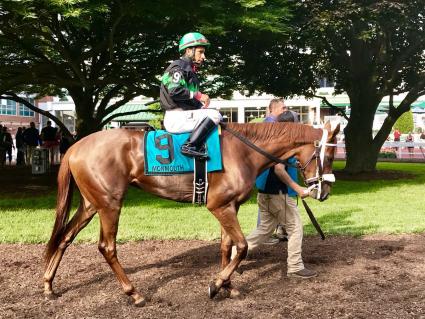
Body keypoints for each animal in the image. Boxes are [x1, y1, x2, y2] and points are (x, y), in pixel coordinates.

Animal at [44, 121, 340, 306]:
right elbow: (242, 246)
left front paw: (227, 286)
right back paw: (134, 293)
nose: (324, 191)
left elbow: (227, 247)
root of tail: (75, 146)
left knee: (65, 237)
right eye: (328, 156)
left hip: (90, 204)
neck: (244, 150)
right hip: (110, 204)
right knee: (107, 247)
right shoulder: (219, 205)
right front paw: (216, 284)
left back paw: (48, 284)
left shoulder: (230, 206)